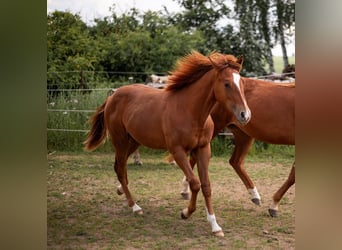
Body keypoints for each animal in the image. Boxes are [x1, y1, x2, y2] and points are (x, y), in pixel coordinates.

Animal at [85, 51, 251, 236]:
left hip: (134, 141)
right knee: (120, 169)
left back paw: (121, 190)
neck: (189, 111)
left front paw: (215, 227)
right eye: (227, 83)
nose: (245, 115)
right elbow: (194, 183)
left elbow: (206, 186)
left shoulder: (203, 149)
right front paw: (186, 213)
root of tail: (113, 96)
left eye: (242, 82)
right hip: (120, 140)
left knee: (119, 167)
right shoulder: (178, 151)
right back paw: (135, 207)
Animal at [180, 77, 296, 217]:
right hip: (213, 130)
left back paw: (255, 195)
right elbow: (293, 176)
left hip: (244, 136)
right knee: (194, 157)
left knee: (235, 162)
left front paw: (273, 206)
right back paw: (185, 190)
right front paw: (274, 206)